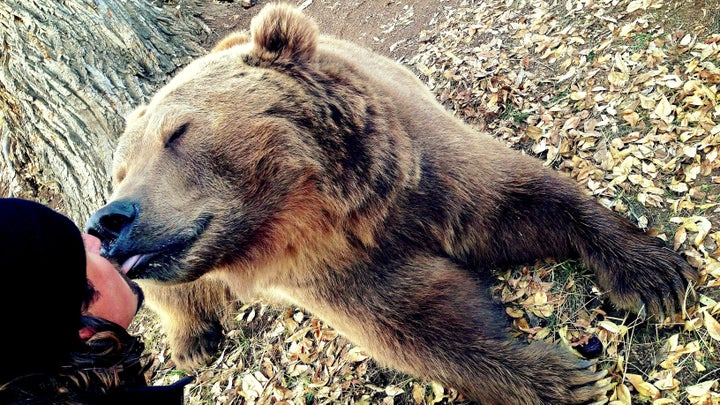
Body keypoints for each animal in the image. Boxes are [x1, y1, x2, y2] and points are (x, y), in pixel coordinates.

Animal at [84, 3, 696, 404]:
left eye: (178, 132)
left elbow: (521, 201)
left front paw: (656, 276)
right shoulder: (328, 269)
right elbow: (412, 325)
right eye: (120, 171)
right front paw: (561, 377)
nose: (109, 219)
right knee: (170, 292)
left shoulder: (424, 170)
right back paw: (192, 343)